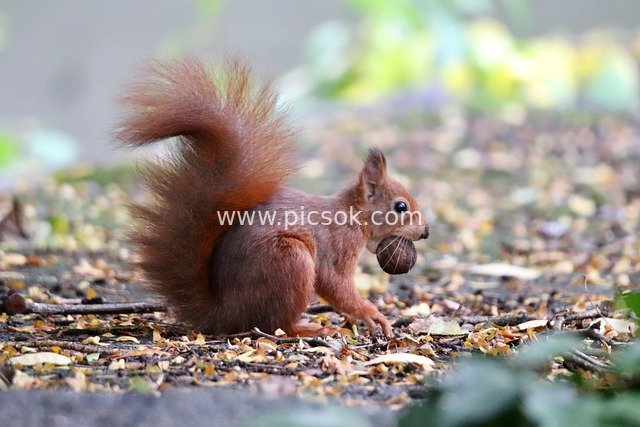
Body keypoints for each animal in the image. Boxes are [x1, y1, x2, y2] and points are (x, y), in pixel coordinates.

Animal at [116, 58, 429, 337]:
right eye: (400, 206)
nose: (425, 231)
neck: (352, 215)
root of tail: (224, 314)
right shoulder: (337, 245)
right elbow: (334, 283)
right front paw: (371, 314)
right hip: (289, 262)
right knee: (276, 324)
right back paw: (309, 329)